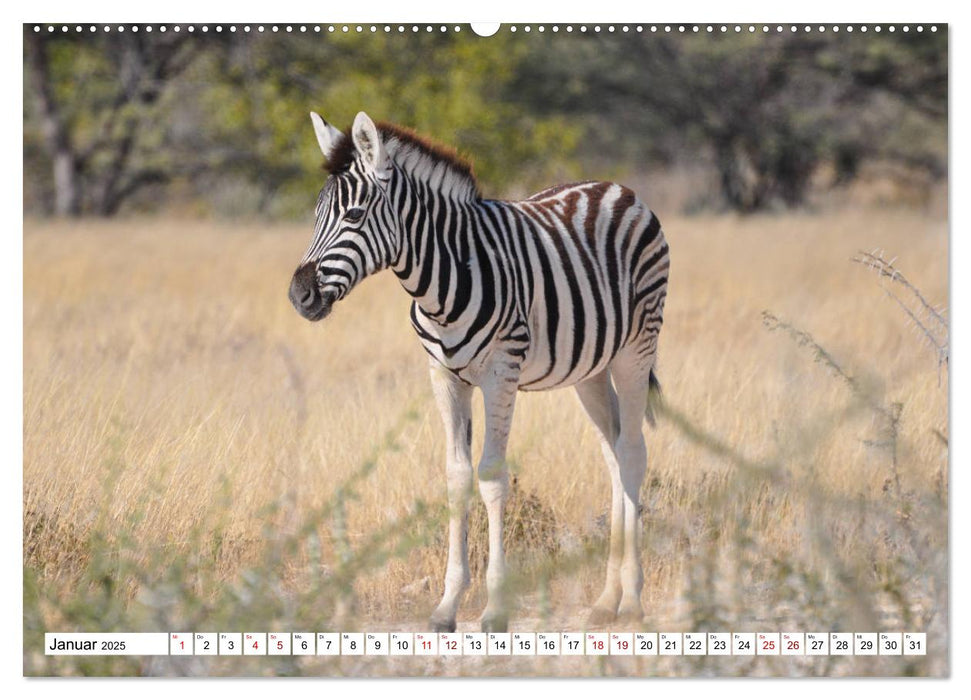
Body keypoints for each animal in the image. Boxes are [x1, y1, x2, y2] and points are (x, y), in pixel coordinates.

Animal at [288, 112, 668, 632]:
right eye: (315, 216)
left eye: (353, 216)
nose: (299, 295)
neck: (442, 282)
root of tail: (617, 187)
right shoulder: (444, 377)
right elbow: (456, 477)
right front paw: (447, 605)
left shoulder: (501, 372)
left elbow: (490, 476)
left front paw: (495, 607)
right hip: (590, 369)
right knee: (612, 452)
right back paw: (606, 601)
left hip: (636, 348)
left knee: (631, 452)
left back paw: (631, 600)